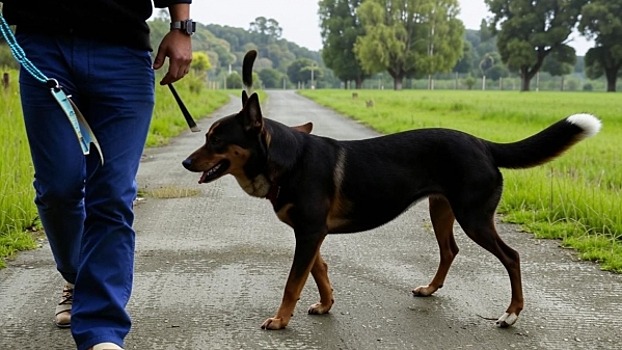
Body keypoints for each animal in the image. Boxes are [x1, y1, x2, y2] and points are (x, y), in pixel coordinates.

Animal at [183, 50, 604, 330]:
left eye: (217, 140)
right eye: (206, 137)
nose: (186, 163)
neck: (286, 160)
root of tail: (482, 144)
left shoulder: (310, 232)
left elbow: (293, 282)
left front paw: (280, 320)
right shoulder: (311, 234)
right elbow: (318, 271)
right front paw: (326, 304)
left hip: (474, 217)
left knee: (512, 257)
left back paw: (511, 313)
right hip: (441, 209)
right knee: (450, 251)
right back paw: (431, 289)